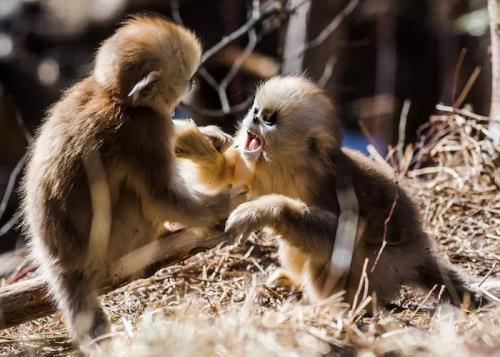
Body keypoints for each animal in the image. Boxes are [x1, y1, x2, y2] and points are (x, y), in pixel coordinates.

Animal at [21, 15, 242, 344]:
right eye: (186, 78)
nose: (193, 83)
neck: (115, 98)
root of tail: (61, 263)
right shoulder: (145, 129)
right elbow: (160, 197)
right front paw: (222, 207)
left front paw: (208, 136)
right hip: (122, 240)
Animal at [174, 76, 482, 308]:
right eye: (256, 110)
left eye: (270, 120)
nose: (254, 117)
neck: (290, 169)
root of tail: (417, 253)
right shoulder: (254, 171)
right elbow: (221, 178)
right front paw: (200, 141)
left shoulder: (331, 188)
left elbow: (346, 233)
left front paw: (262, 210)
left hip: (383, 265)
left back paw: (332, 308)